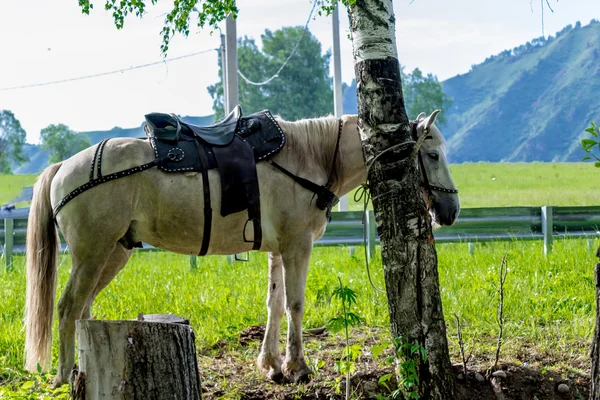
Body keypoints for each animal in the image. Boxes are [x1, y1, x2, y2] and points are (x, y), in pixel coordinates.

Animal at [21, 111, 458, 386]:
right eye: (433, 154)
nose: (450, 210)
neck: (310, 156)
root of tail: (63, 167)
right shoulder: (297, 246)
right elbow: (295, 304)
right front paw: (297, 367)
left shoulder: (278, 250)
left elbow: (274, 304)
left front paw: (272, 365)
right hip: (92, 255)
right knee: (67, 308)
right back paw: (63, 375)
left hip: (112, 253)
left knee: (83, 311)